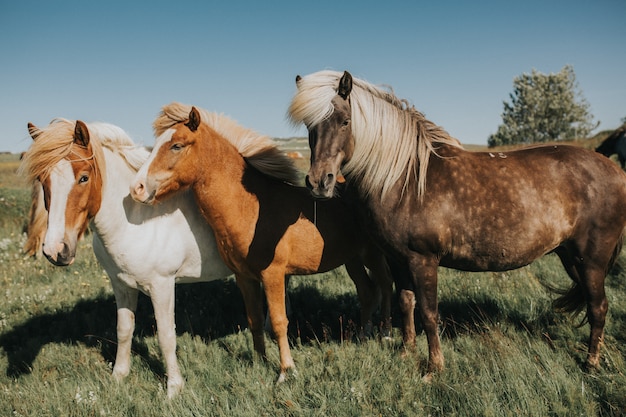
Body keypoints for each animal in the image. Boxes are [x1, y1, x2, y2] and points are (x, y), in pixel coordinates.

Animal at [20, 118, 236, 396]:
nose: (55, 250)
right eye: (41, 179)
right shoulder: (121, 284)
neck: (138, 219)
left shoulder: (162, 286)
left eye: (83, 177)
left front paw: (173, 388)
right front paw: (119, 376)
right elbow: (124, 329)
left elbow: (166, 336)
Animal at [130, 101, 394, 380]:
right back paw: (363, 335)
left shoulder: (273, 275)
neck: (251, 206)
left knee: (385, 284)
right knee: (368, 291)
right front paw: (259, 362)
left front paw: (286, 370)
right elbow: (254, 319)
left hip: (372, 254)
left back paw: (386, 335)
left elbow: (278, 322)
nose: (137, 188)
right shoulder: (244, 277)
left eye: (177, 146)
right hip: (351, 258)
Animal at [288, 70, 626, 376]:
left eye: (345, 121)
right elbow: (406, 303)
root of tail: (616, 171)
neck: (405, 179)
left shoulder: (423, 260)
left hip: (591, 260)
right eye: (309, 125)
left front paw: (434, 367)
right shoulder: (399, 261)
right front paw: (406, 352)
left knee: (599, 307)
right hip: (571, 257)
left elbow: (429, 313)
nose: (319, 182)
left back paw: (591, 363)